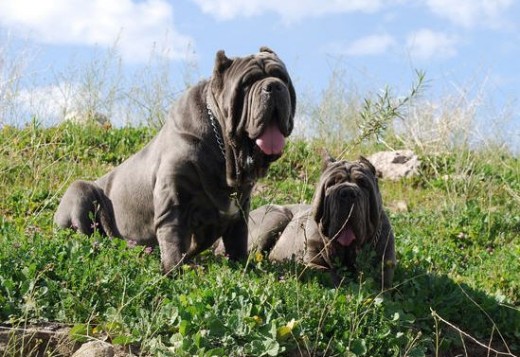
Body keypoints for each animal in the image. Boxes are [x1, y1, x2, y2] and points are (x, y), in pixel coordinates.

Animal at [55, 46, 296, 272]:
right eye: (247, 83)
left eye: (282, 77)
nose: (274, 86)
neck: (224, 150)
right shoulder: (173, 198)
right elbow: (173, 235)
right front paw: (173, 269)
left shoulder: (241, 207)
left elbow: (237, 238)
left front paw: (241, 265)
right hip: (80, 190)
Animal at [246, 157, 396, 288]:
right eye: (332, 183)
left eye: (363, 183)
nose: (347, 193)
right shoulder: (312, 263)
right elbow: (330, 274)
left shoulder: (385, 266)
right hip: (275, 218)